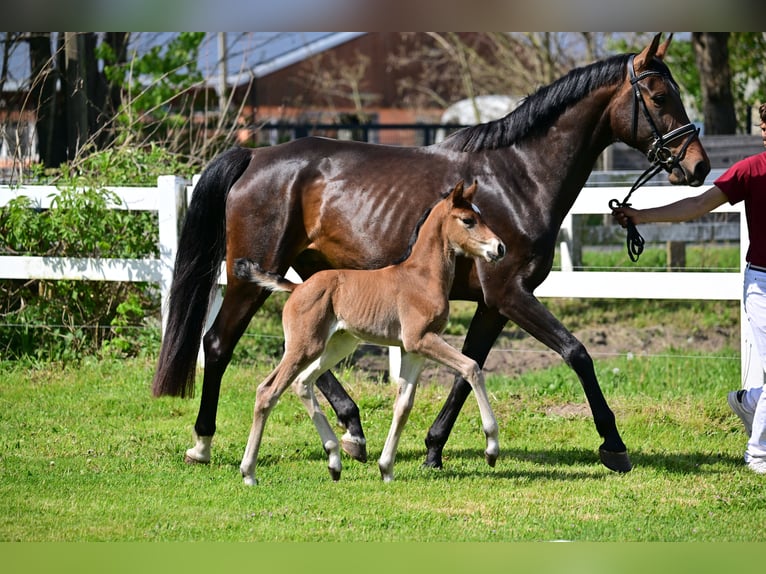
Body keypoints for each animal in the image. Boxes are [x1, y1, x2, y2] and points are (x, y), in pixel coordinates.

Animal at [233, 180, 505, 484]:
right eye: (468, 220)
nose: (500, 248)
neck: (421, 277)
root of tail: (297, 286)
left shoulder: (413, 350)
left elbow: (403, 405)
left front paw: (386, 468)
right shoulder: (421, 340)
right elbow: (472, 367)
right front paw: (492, 448)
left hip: (338, 345)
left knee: (302, 383)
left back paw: (334, 461)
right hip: (303, 346)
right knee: (268, 391)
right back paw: (248, 472)